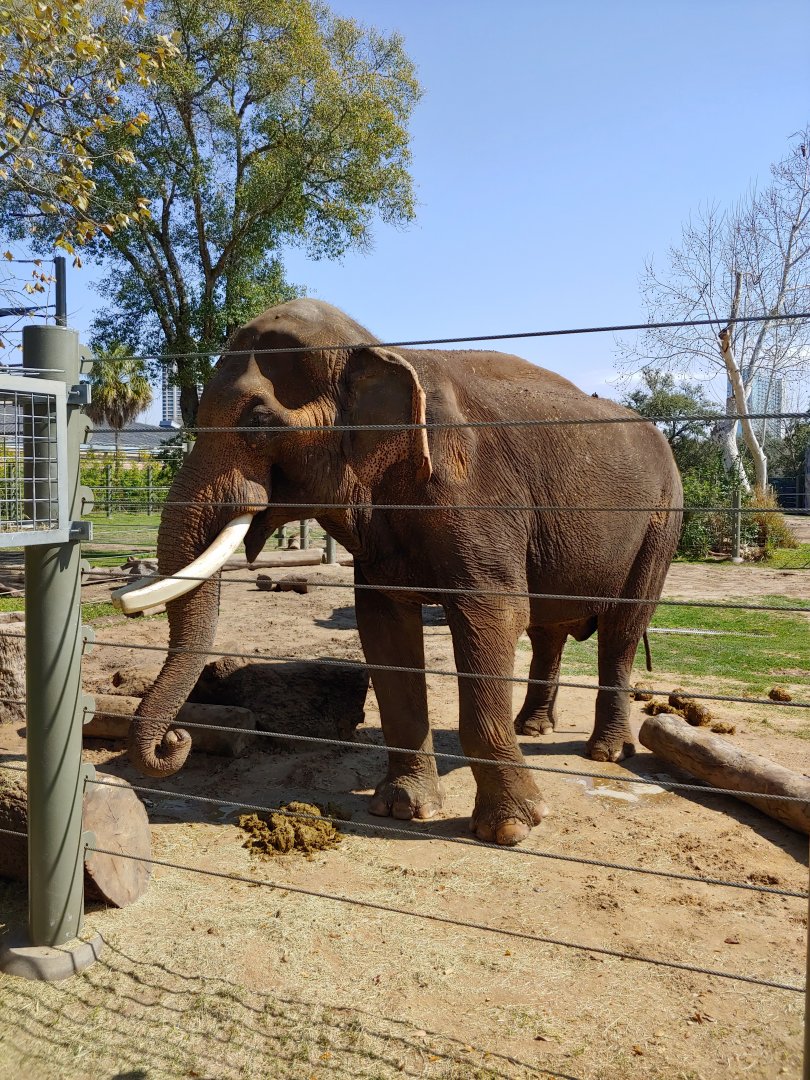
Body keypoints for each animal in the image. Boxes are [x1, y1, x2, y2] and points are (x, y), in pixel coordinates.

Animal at [120, 298, 683, 846]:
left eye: (257, 422)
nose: (175, 740)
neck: (380, 349)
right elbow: (384, 628)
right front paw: (401, 809)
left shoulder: (478, 495)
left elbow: (494, 616)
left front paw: (513, 828)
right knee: (549, 628)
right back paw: (533, 729)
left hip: (662, 522)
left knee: (621, 631)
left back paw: (605, 753)